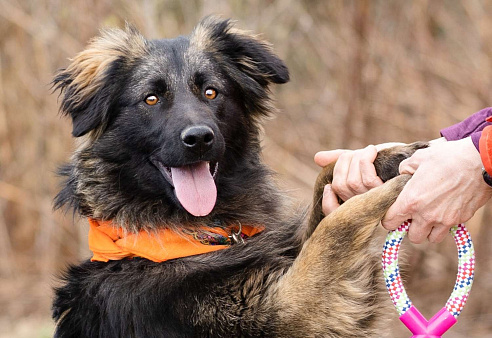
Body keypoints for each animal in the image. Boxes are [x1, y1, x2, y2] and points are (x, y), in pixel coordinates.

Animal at [51, 17, 426, 336]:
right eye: (152, 99)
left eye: (211, 92)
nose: (199, 139)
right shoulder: (292, 314)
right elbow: (333, 231)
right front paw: (394, 187)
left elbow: (325, 184)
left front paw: (385, 161)